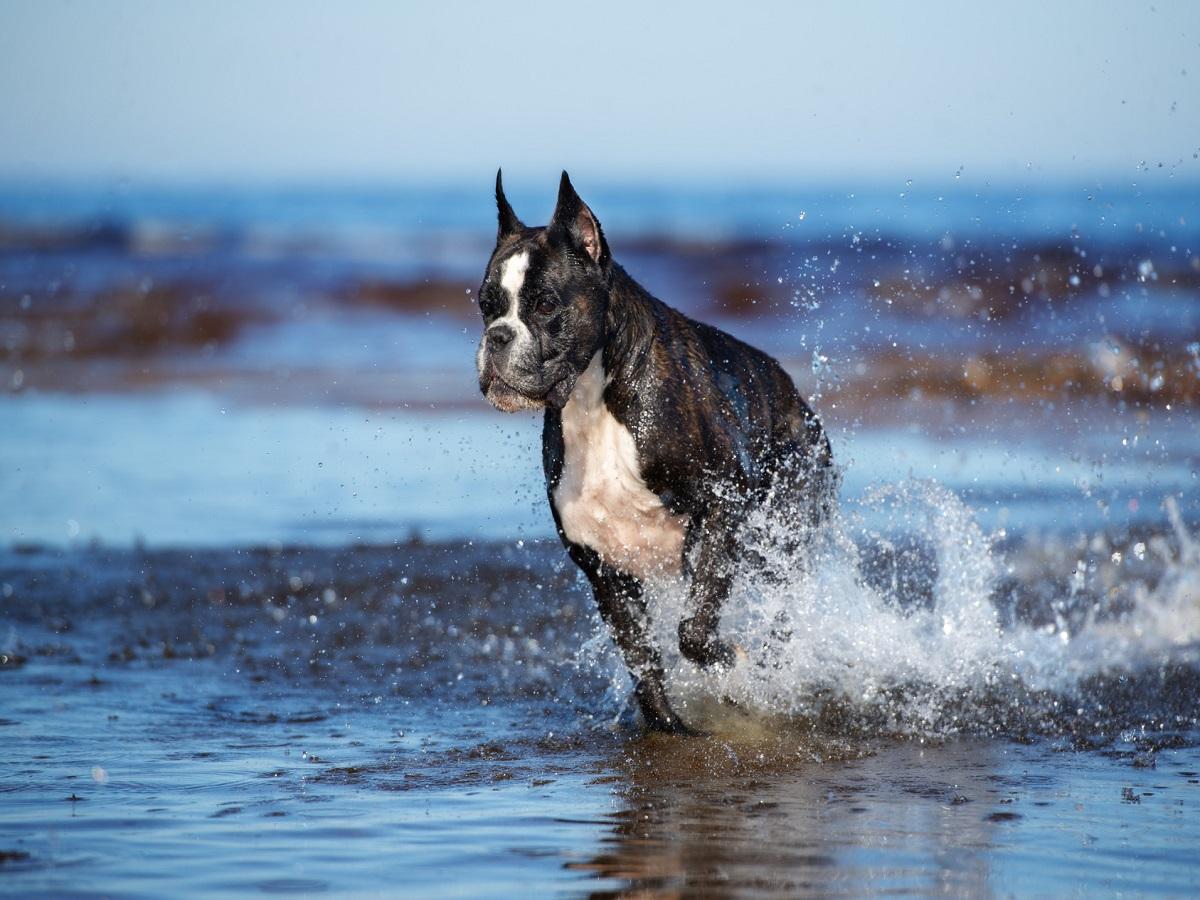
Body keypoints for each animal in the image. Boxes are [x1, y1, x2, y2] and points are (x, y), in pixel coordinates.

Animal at [472, 172, 830, 734]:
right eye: (485, 305)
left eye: (546, 304)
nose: (497, 336)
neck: (593, 399)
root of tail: (799, 404)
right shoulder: (604, 568)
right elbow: (642, 659)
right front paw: (670, 726)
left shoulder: (721, 509)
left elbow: (694, 629)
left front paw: (733, 664)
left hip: (783, 537)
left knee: (780, 613)